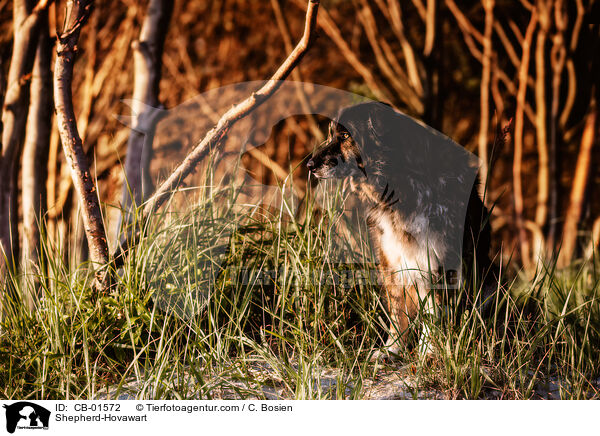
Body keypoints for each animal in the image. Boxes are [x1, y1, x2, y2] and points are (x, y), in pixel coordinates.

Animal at [308, 102, 500, 358]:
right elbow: (397, 311)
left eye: (346, 135)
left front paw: (428, 351)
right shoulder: (391, 258)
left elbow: (433, 312)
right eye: (331, 134)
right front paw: (392, 349)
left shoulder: (438, 261)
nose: (309, 165)